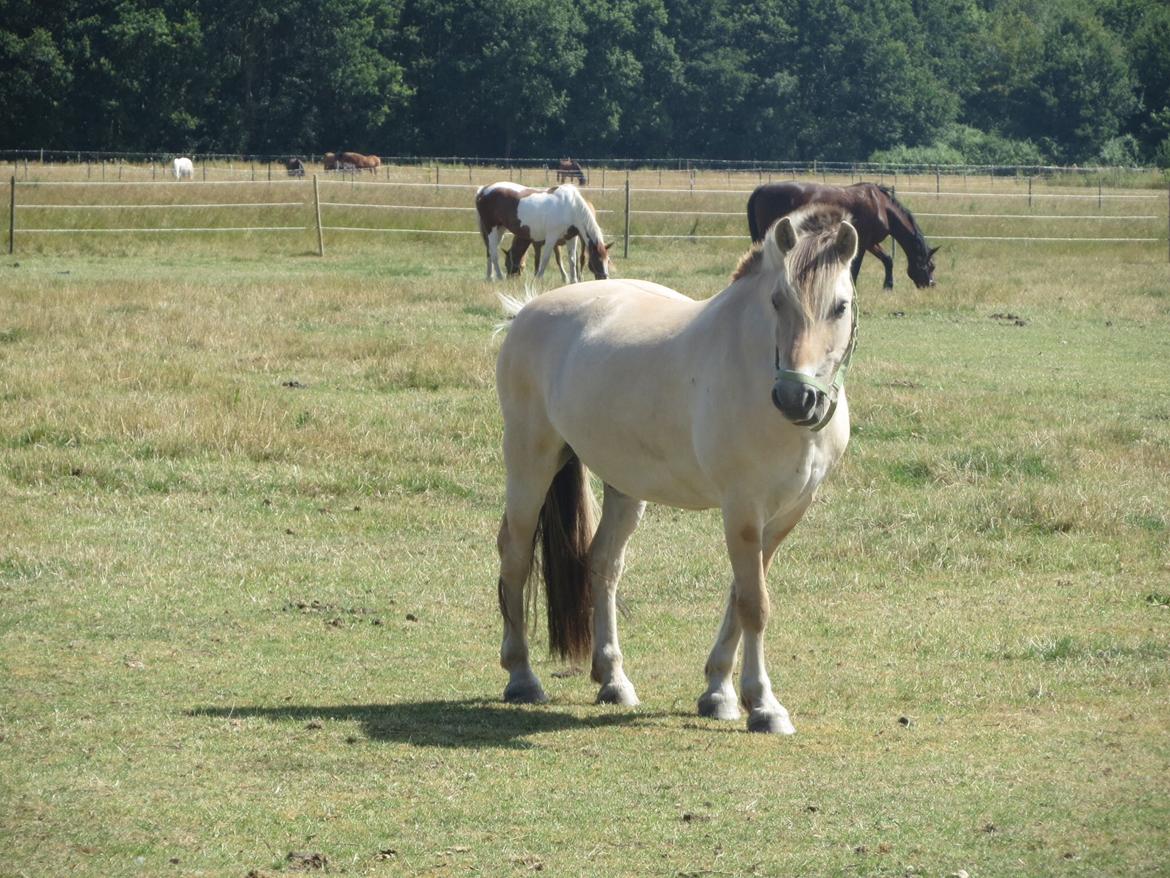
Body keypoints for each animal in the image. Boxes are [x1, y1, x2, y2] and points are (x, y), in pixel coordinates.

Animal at [472, 182, 608, 282]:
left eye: (608, 260)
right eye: (596, 261)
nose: (604, 278)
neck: (571, 207)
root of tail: (483, 190)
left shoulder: (571, 238)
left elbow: (572, 259)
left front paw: (573, 282)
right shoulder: (551, 238)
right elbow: (545, 258)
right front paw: (538, 279)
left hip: (500, 229)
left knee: (490, 251)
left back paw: (490, 278)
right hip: (491, 229)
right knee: (494, 254)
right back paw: (500, 278)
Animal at [493, 208, 861, 735]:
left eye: (840, 306)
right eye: (777, 301)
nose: (798, 399)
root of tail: (525, 312)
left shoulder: (785, 513)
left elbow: (741, 595)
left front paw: (718, 693)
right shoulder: (742, 508)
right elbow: (755, 604)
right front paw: (763, 705)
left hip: (625, 486)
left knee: (603, 564)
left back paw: (613, 680)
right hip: (531, 461)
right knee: (516, 556)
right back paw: (522, 676)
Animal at [748, 182, 940, 289]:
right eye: (930, 266)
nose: (930, 284)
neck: (881, 206)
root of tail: (762, 188)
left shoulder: (871, 243)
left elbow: (887, 260)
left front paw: (888, 285)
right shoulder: (862, 242)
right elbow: (855, 267)